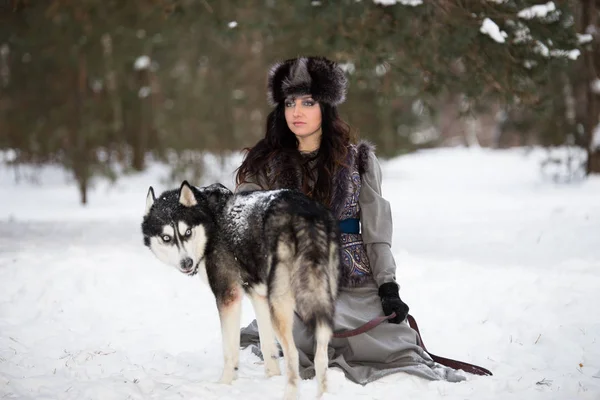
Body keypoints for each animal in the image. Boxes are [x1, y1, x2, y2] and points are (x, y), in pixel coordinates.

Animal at [138, 182, 340, 400]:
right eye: (166, 238)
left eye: (188, 232)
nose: (187, 263)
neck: (210, 219)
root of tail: (304, 212)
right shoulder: (259, 297)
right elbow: (267, 347)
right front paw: (271, 377)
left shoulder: (228, 296)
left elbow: (230, 351)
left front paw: (224, 384)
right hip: (319, 302)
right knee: (321, 356)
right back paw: (323, 395)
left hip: (280, 303)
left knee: (293, 354)